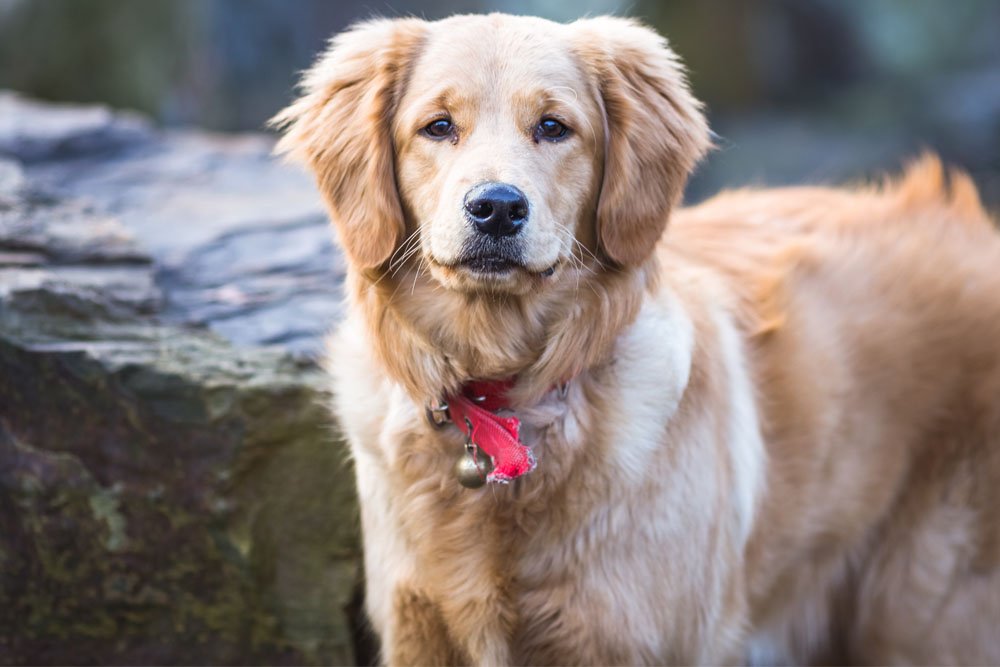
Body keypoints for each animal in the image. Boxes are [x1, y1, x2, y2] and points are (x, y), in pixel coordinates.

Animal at [272, 13, 1000, 664]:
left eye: (553, 127)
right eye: (438, 126)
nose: (497, 207)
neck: (509, 400)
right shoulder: (419, 629)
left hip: (925, 614)